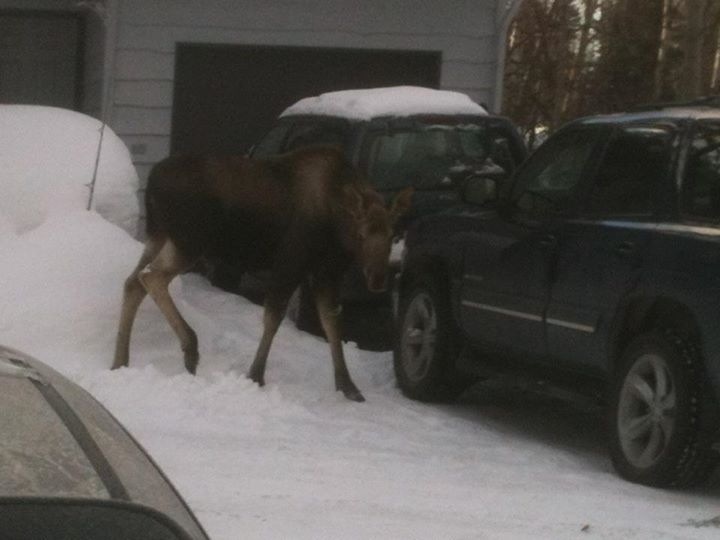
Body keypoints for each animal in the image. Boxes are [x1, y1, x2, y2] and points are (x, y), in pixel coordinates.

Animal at [112, 145, 413, 402]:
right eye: (361, 234)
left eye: (393, 235)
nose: (378, 278)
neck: (337, 228)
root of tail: (151, 183)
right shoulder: (291, 263)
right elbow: (273, 317)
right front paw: (255, 375)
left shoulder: (325, 273)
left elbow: (331, 322)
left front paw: (347, 385)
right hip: (188, 241)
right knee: (150, 277)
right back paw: (189, 347)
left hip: (159, 236)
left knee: (132, 281)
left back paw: (120, 360)